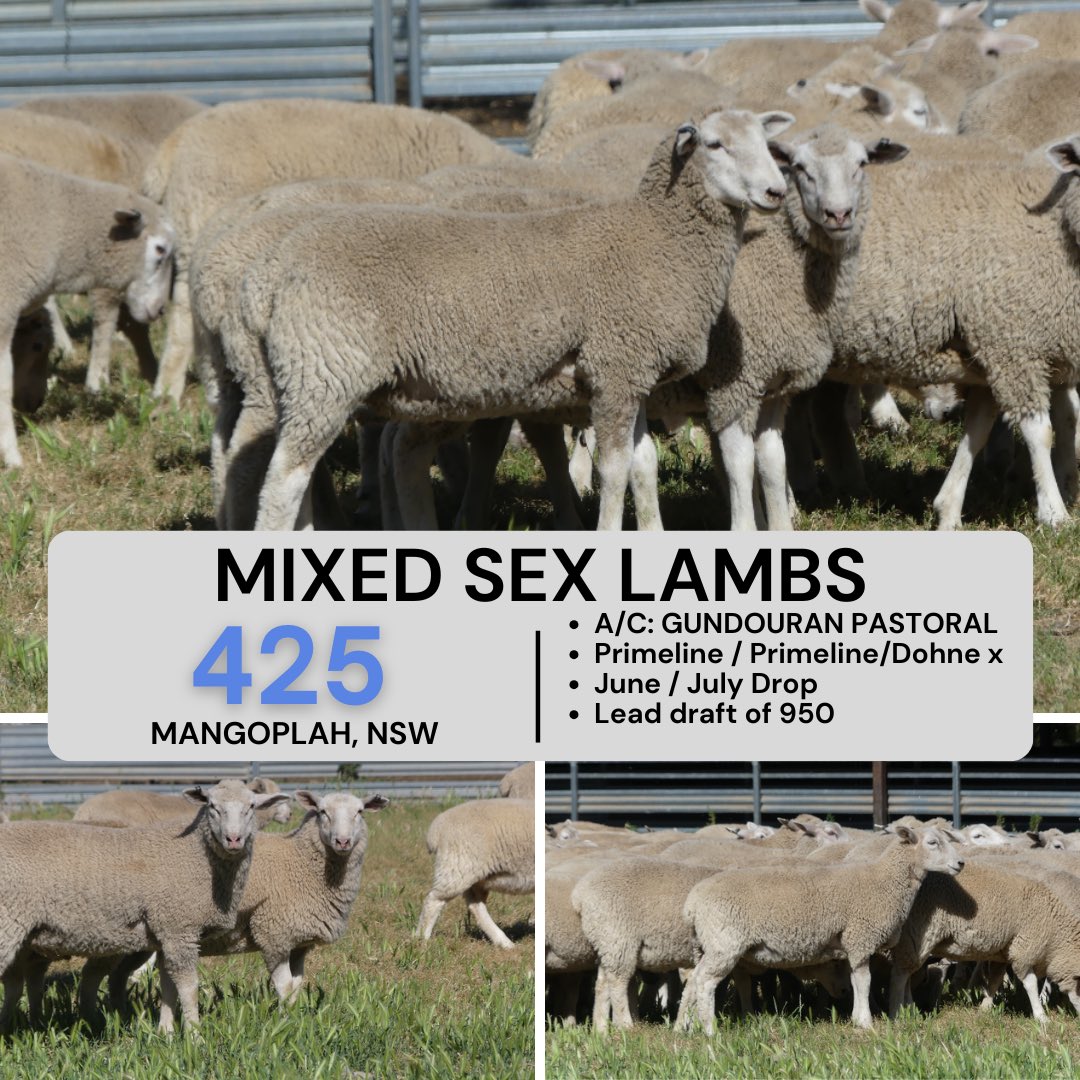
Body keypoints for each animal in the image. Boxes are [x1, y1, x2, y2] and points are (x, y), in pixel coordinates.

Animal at [0, 779, 290, 1033]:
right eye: (212, 806)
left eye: (251, 806)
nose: (233, 839)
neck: (197, 856)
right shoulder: (179, 928)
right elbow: (189, 988)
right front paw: (194, 1036)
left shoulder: (166, 932)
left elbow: (168, 985)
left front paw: (166, 1033)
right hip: (7, 926)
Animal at [246, 108, 792, 532]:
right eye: (715, 144)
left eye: (766, 143)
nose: (776, 191)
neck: (656, 237)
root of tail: (276, 274)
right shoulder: (614, 366)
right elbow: (614, 470)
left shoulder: (631, 371)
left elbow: (644, 465)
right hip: (324, 375)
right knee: (282, 482)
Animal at [416, 798, 534, 949]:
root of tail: (436, 829)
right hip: (458, 865)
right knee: (433, 901)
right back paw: (420, 939)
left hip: (478, 876)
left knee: (475, 905)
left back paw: (504, 942)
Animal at [682, 824, 964, 1032]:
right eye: (932, 843)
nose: (961, 863)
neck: (884, 881)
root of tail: (693, 901)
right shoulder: (860, 936)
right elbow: (864, 981)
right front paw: (865, 1022)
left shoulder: (851, 942)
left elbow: (854, 980)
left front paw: (858, 1018)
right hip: (725, 943)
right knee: (705, 981)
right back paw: (710, 1030)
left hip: (711, 944)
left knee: (694, 979)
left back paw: (690, 1026)